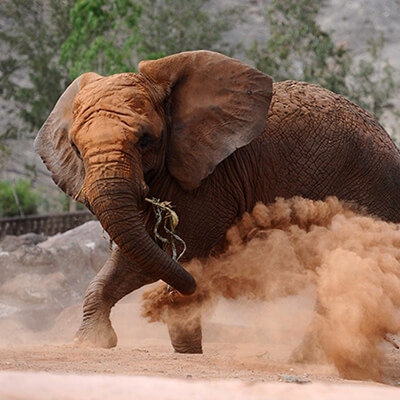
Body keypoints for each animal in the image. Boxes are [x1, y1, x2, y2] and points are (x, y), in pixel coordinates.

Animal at [35, 50, 400, 354]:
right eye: (76, 148)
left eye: (145, 140)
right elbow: (139, 252)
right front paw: (93, 342)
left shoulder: (211, 180)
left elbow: (170, 253)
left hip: (372, 189)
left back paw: (312, 358)